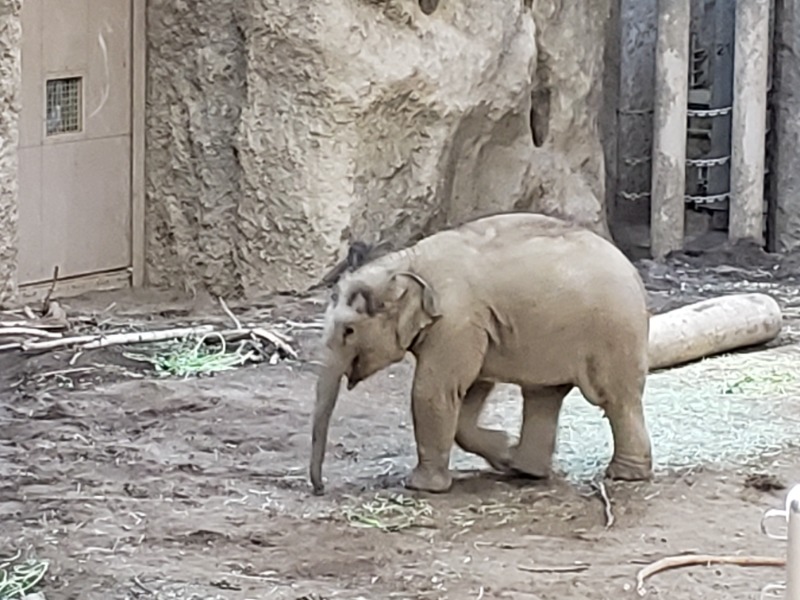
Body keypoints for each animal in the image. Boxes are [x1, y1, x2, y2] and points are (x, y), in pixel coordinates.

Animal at [310, 213, 652, 494]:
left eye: (349, 331)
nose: (320, 488)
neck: (408, 261)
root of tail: (635, 274)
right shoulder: (474, 329)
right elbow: (469, 389)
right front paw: (505, 450)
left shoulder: (456, 322)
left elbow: (434, 391)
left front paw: (421, 487)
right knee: (543, 396)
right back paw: (526, 470)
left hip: (614, 332)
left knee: (616, 398)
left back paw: (624, 475)